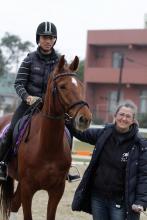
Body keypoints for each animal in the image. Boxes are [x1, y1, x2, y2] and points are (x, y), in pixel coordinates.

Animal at [0, 55, 92, 220]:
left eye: (81, 86)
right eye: (62, 86)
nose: (85, 119)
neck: (47, 146)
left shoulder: (56, 190)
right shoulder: (27, 189)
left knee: (12, 205)